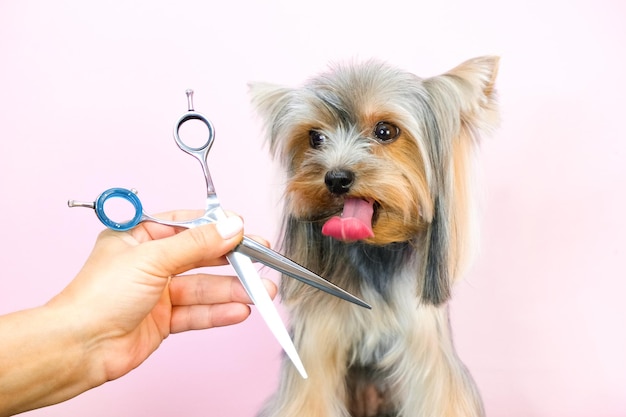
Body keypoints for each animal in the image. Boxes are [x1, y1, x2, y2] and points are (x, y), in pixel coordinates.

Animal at [249, 56, 498, 416]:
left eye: (385, 131)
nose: (336, 178)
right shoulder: (317, 341)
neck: (373, 251)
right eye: (315, 138)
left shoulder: (425, 346)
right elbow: (309, 396)